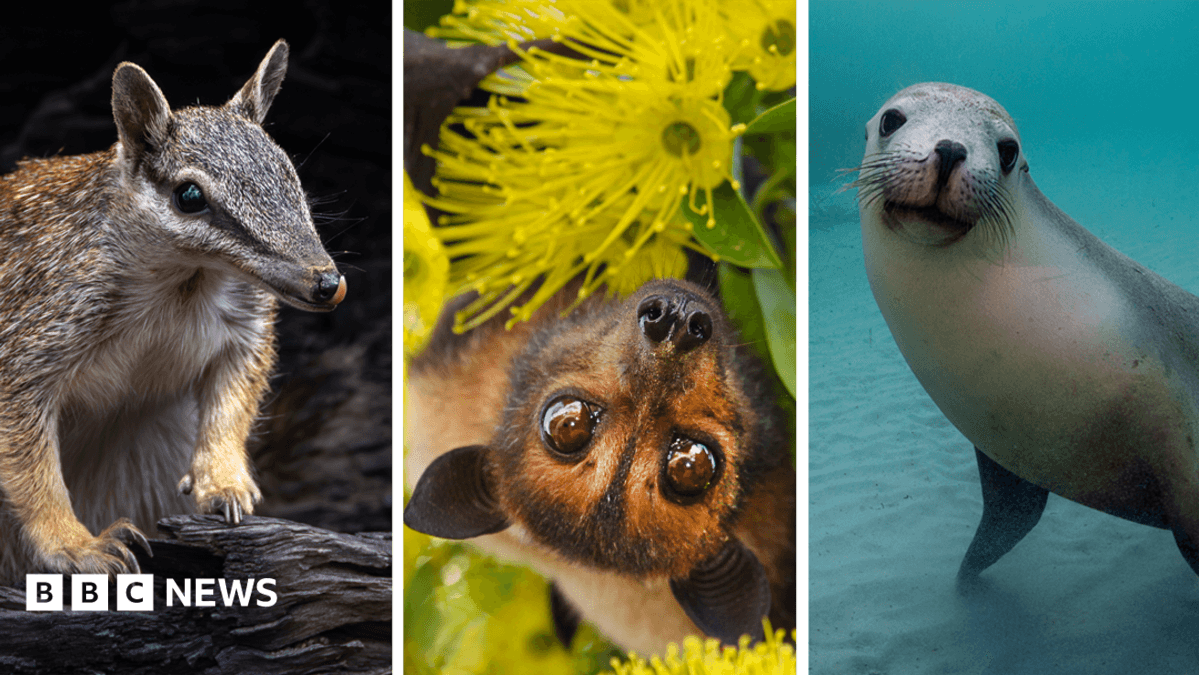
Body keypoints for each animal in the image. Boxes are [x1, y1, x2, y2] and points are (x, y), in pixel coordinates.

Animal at [0, 39, 345, 583]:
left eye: (289, 173)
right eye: (189, 196)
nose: (327, 283)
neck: (181, 286)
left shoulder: (246, 334)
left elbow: (230, 408)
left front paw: (223, 481)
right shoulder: (29, 349)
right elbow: (33, 469)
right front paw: (75, 544)